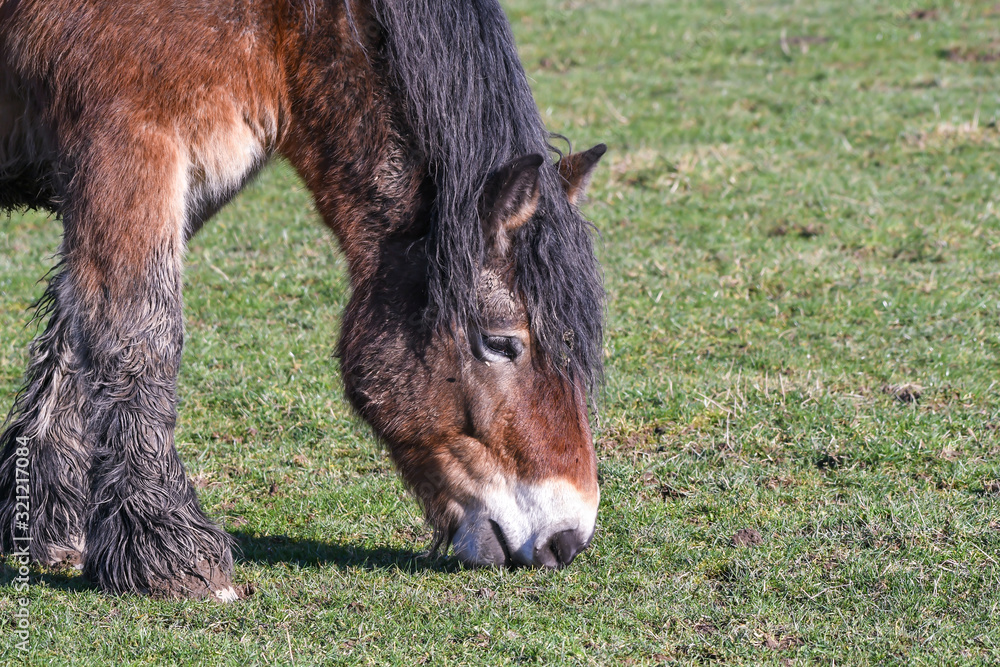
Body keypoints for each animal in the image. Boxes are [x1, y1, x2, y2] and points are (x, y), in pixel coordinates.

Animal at [0, 0, 606, 601]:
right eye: (501, 342)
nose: (567, 539)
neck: (284, 25)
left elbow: (75, 324)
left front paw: (46, 516)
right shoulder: (128, 146)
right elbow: (137, 333)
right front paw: (167, 550)